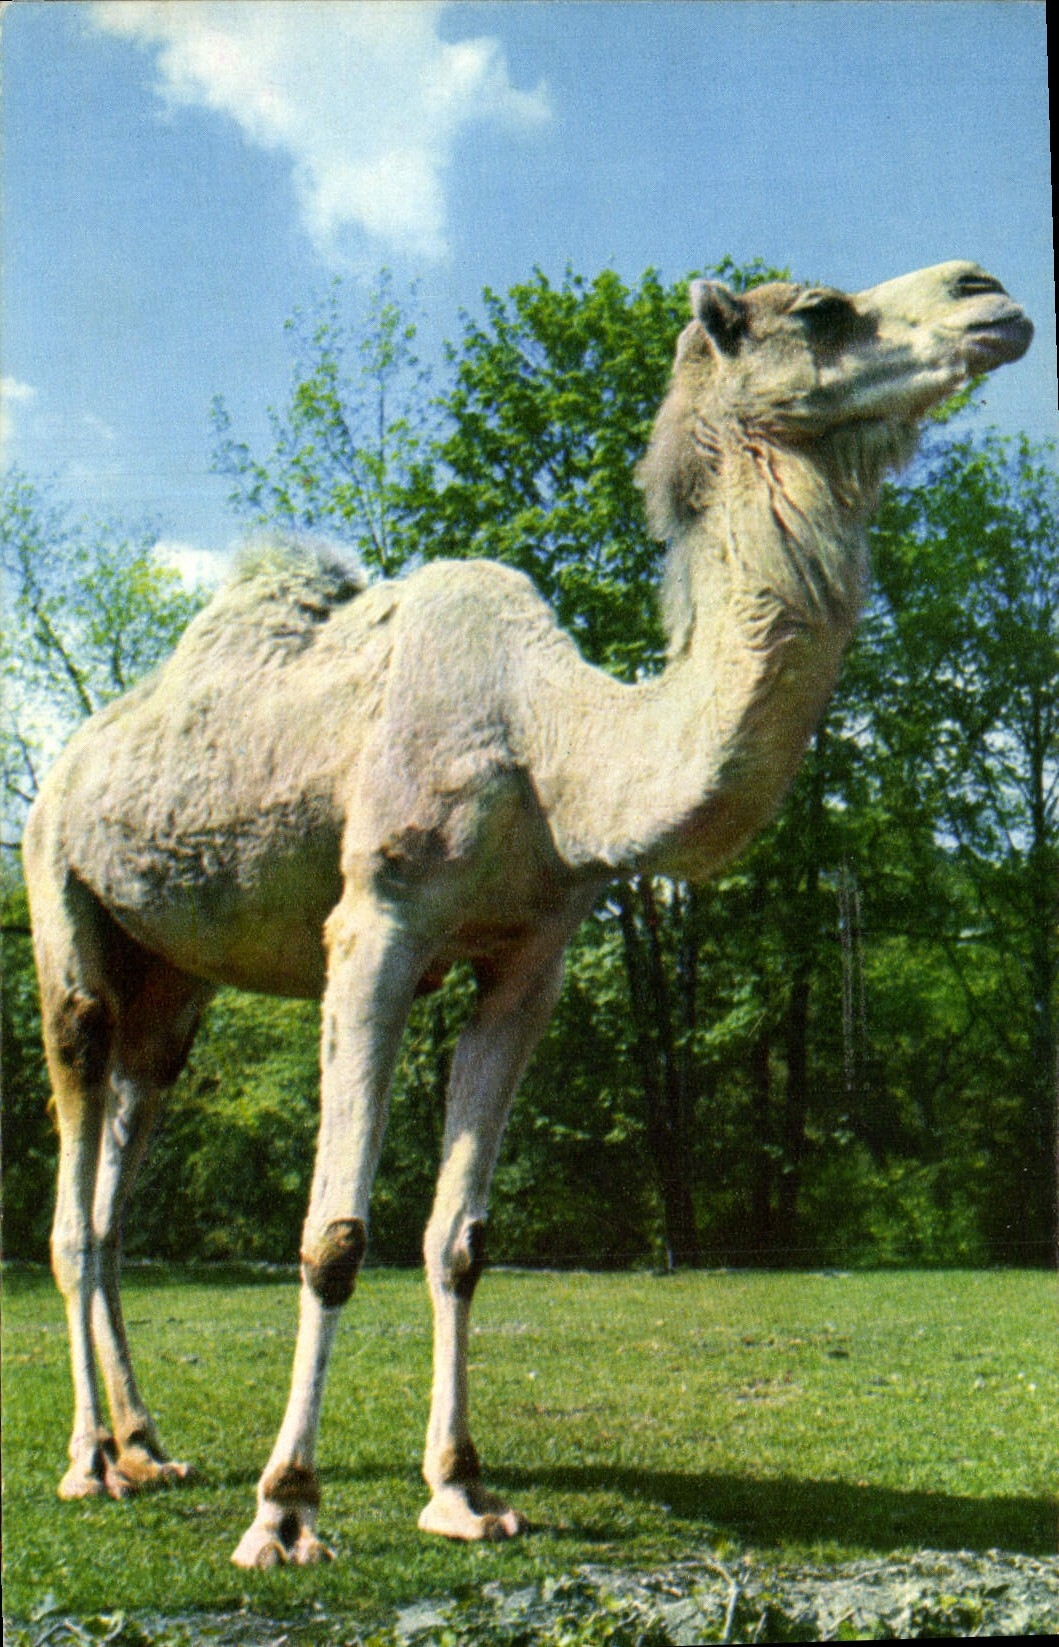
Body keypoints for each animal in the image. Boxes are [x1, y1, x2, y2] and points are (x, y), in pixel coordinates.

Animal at [23, 261, 1031, 1566]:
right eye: (820, 312)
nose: (988, 294)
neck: (552, 743)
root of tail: (72, 759)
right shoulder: (377, 925)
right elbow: (334, 1235)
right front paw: (287, 1510)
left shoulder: (529, 956)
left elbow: (461, 1238)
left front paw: (462, 1492)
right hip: (61, 898)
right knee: (72, 1186)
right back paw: (91, 1463)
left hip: (172, 986)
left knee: (118, 1186)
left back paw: (150, 1444)